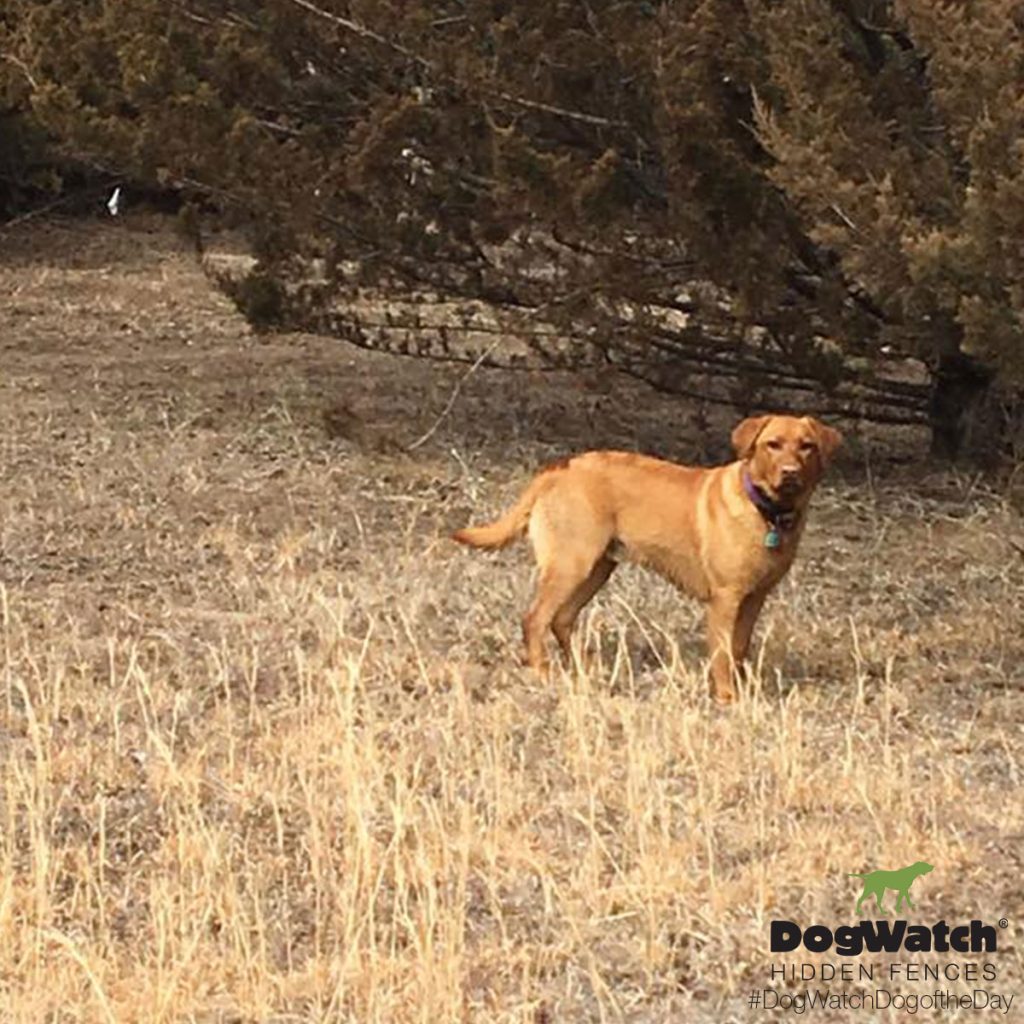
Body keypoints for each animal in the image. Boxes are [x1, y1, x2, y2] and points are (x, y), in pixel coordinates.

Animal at [454, 411, 839, 700]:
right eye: (772, 445)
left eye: (806, 447)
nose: (790, 474)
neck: (767, 513)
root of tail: (556, 469)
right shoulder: (725, 599)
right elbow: (721, 655)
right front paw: (727, 697)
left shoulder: (754, 598)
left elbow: (739, 649)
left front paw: (743, 691)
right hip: (571, 565)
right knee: (534, 619)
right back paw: (542, 671)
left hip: (597, 568)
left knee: (561, 619)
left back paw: (583, 669)